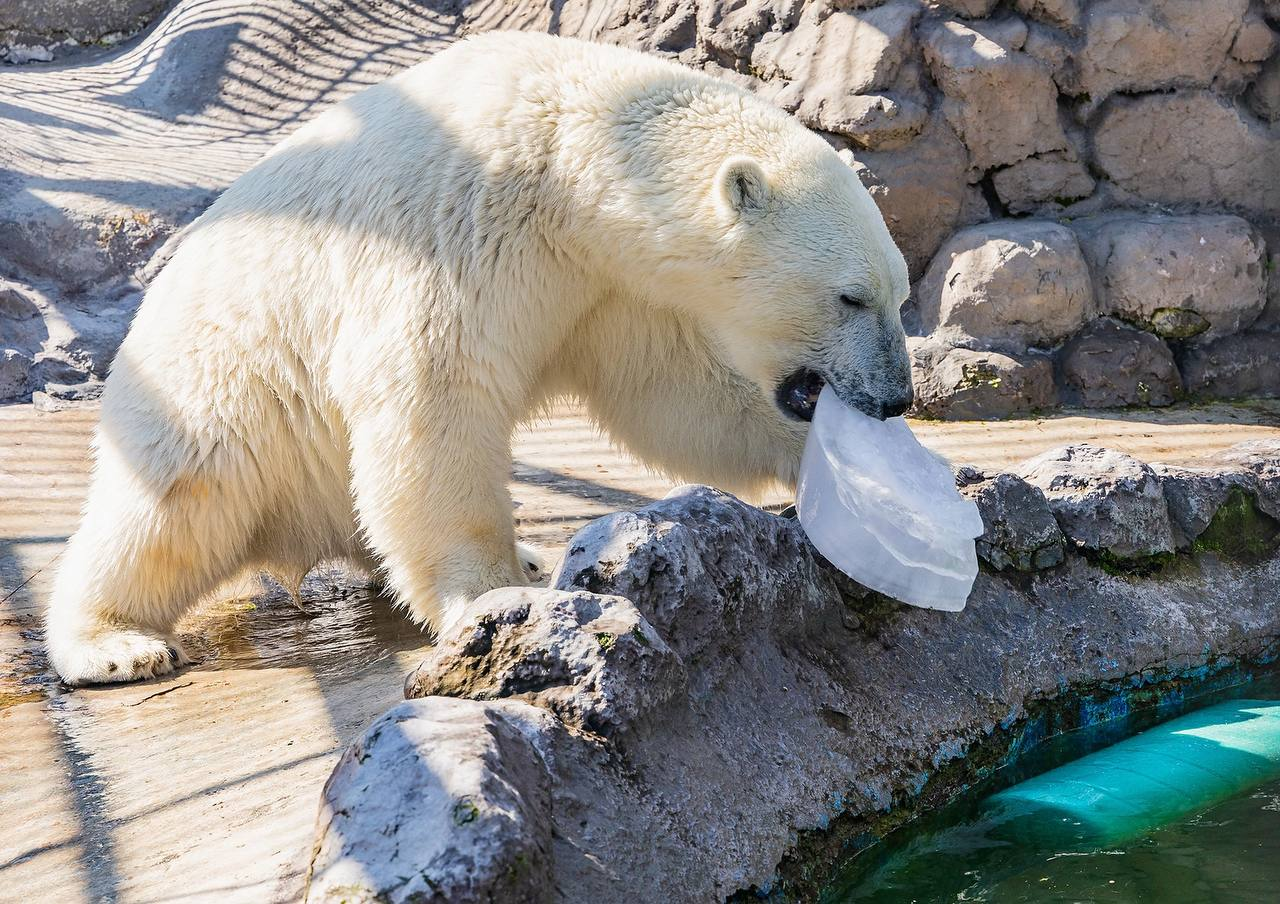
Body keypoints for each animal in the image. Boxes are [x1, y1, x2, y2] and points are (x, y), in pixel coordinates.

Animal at [45, 33, 916, 681]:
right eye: (851, 297)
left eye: (901, 294)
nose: (896, 397)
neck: (574, 156)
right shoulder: (458, 228)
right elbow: (434, 399)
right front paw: (492, 600)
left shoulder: (606, 289)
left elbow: (672, 394)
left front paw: (860, 480)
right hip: (219, 386)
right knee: (172, 509)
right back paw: (115, 643)